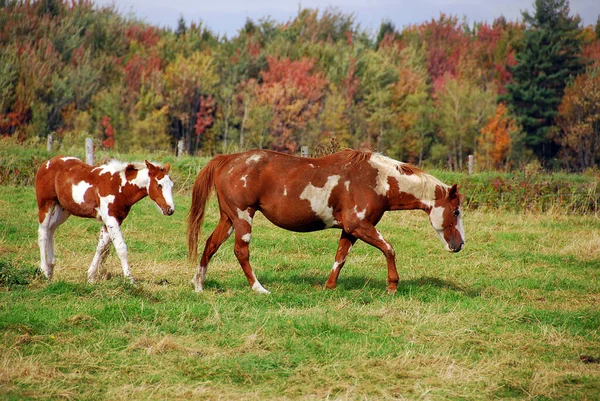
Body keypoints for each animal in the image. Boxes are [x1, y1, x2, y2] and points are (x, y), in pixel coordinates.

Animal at [36, 155, 175, 282]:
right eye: (159, 185)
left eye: (171, 185)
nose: (170, 210)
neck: (119, 187)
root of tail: (47, 163)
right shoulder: (111, 219)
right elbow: (121, 248)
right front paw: (130, 280)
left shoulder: (115, 220)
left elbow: (101, 247)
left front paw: (91, 276)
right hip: (46, 205)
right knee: (43, 232)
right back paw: (44, 270)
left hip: (64, 210)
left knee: (51, 229)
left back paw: (51, 267)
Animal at [188, 148, 464, 292]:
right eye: (456, 212)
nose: (459, 245)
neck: (377, 180)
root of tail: (227, 159)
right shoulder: (359, 225)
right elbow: (389, 249)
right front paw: (392, 286)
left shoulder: (351, 230)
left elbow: (340, 257)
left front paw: (329, 286)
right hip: (243, 217)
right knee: (241, 251)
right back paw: (258, 288)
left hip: (229, 218)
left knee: (211, 245)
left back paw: (199, 284)